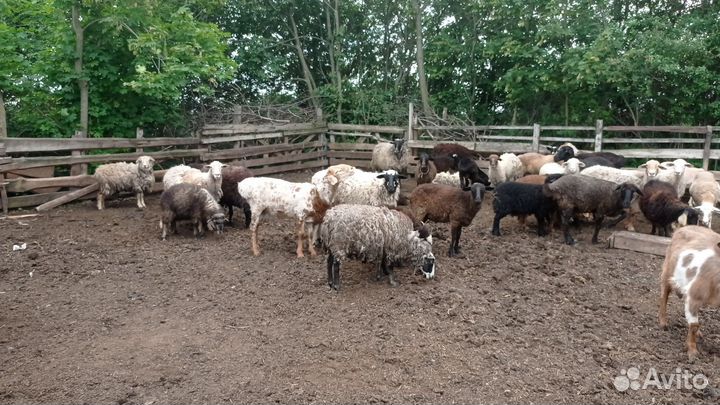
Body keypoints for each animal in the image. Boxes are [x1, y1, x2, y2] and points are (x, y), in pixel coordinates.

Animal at [659, 225, 720, 361]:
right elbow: (694, 325)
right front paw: (692, 352)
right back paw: (663, 323)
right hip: (667, 272)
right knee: (664, 295)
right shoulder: (694, 295)